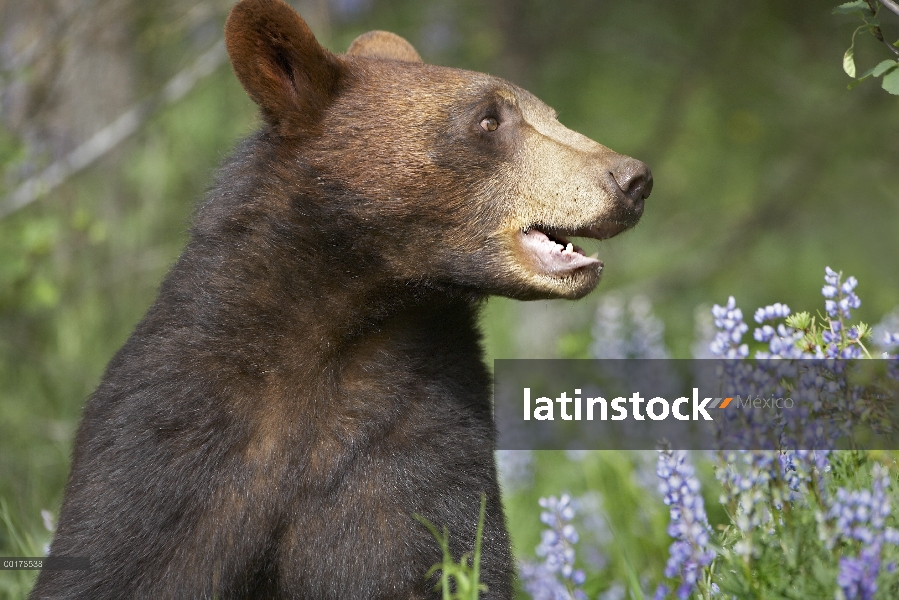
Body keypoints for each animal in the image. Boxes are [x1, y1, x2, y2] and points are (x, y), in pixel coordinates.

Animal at [31, 0, 652, 596]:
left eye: (551, 114)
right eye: (489, 119)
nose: (632, 178)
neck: (336, 324)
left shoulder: (410, 441)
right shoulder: (172, 442)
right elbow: (123, 557)